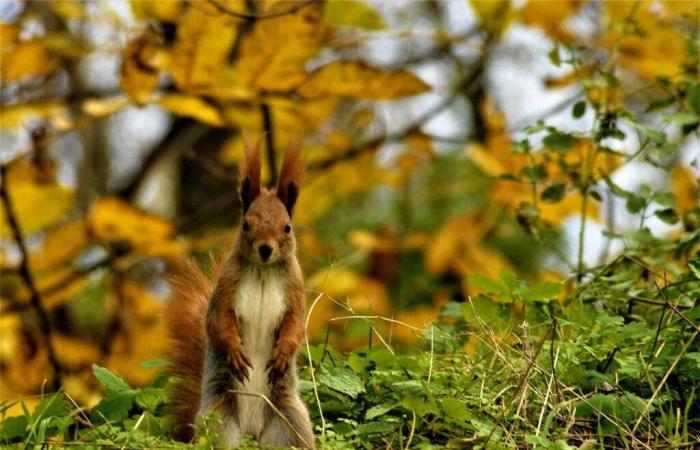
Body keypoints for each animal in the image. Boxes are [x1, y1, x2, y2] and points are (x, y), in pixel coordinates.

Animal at [164, 136, 312, 446]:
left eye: (287, 227)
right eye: (245, 224)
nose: (265, 249)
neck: (263, 271)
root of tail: (252, 432)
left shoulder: (295, 289)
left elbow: (296, 325)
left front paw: (283, 353)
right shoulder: (225, 288)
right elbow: (218, 322)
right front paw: (235, 352)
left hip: (289, 422)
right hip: (219, 423)